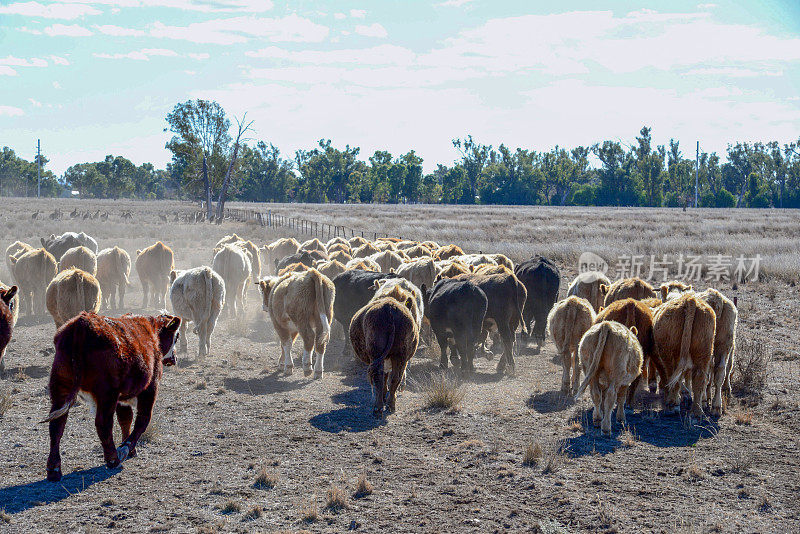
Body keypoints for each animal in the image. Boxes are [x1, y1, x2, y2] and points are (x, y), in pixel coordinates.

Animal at [44, 312, 182, 484]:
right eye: (176, 336)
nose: (174, 358)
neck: (152, 331)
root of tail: (82, 324)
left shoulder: (122, 400)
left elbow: (125, 419)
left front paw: (131, 450)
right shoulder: (150, 388)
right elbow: (142, 420)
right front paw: (125, 448)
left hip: (61, 388)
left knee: (56, 426)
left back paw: (54, 469)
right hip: (106, 394)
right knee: (103, 424)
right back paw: (113, 459)